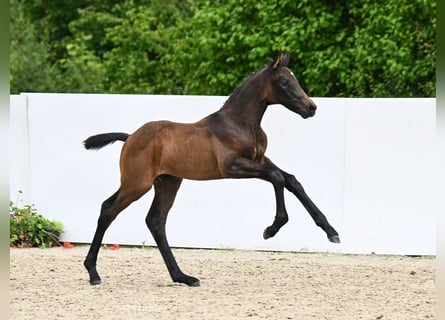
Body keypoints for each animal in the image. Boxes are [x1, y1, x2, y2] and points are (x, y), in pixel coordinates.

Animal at [84, 53, 340, 288]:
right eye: (285, 82)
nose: (311, 107)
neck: (239, 123)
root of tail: (129, 137)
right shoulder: (231, 166)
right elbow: (277, 178)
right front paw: (271, 229)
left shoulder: (260, 159)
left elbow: (292, 180)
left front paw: (331, 231)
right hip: (137, 183)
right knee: (108, 209)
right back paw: (93, 272)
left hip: (168, 182)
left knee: (155, 221)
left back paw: (183, 277)